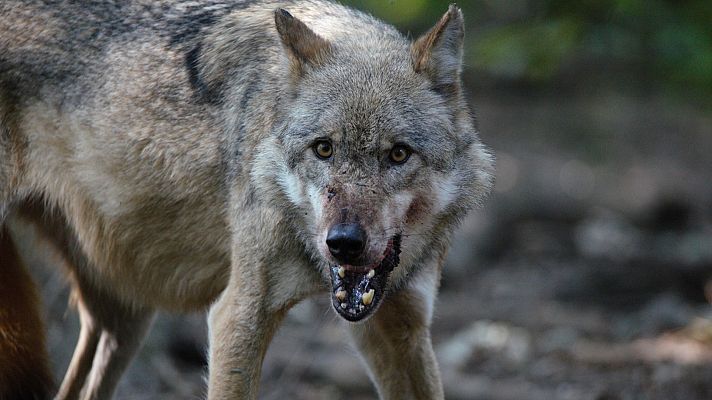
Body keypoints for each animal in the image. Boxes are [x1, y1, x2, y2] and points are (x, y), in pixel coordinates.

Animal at [0, 0, 494, 399]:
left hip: (125, 317)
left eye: (398, 154)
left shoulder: (402, 327)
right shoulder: (238, 316)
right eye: (324, 149)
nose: (343, 243)